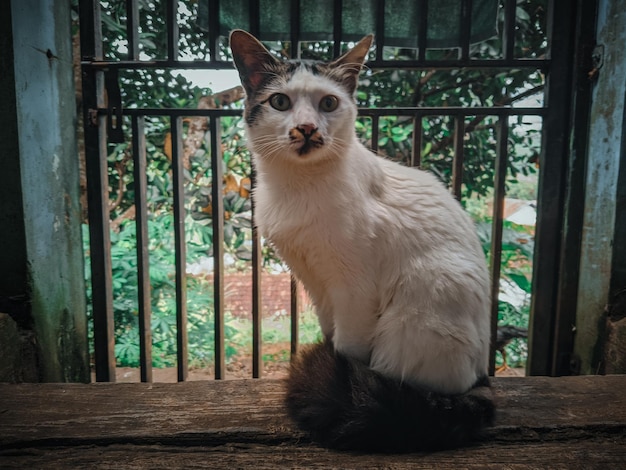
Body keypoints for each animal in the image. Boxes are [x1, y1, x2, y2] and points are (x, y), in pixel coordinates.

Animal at [228, 28, 492, 452]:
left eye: (329, 102)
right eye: (280, 102)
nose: (307, 128)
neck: (298, 187)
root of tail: (480, 377)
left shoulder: (354, 291)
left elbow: (347, 350)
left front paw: (343, 383)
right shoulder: (316, 285)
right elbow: (331, 338)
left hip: (410, 323)